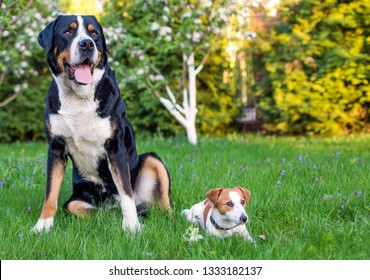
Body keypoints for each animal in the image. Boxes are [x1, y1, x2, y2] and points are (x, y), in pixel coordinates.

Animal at [33, 15, 171, 234]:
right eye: (67, 31)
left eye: (94, 33)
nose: (87, 44)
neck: (80, 97)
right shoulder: (55, 148)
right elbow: (50, 192)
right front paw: (42, 225)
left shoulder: (116, 147)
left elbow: (126, 192)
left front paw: (131, 227)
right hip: (79, 197)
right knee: (86, 209)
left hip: (151, 159)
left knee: (162, 204)